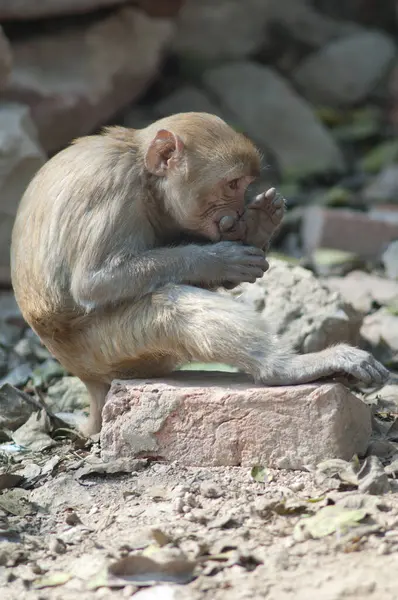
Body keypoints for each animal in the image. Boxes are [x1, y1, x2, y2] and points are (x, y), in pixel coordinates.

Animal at [10, 110, 388, 434]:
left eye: (245, 185)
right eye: (232, 184)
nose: (238, 212)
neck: (144, 179)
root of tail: (84, 377)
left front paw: (257, 228)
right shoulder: (111, 187)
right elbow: (93, 282)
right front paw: (217, 258)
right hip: (107, 349)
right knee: (170, 305)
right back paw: (284, 369)